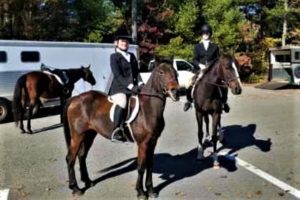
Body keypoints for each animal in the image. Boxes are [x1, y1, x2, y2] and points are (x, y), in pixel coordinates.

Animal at [63, 57, 179, 199]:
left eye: (175, 72)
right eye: (161, 72)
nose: (176, 91)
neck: (148, 109)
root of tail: (75, 98)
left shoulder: (153, 141)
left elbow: (150, 165)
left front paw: (151, 190)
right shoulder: (143, 143)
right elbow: (141, 167)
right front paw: (141, 192)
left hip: (89, 134)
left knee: (82, 156)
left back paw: (88, 181)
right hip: (77, 136)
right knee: (70, 158)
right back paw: (75, 188)